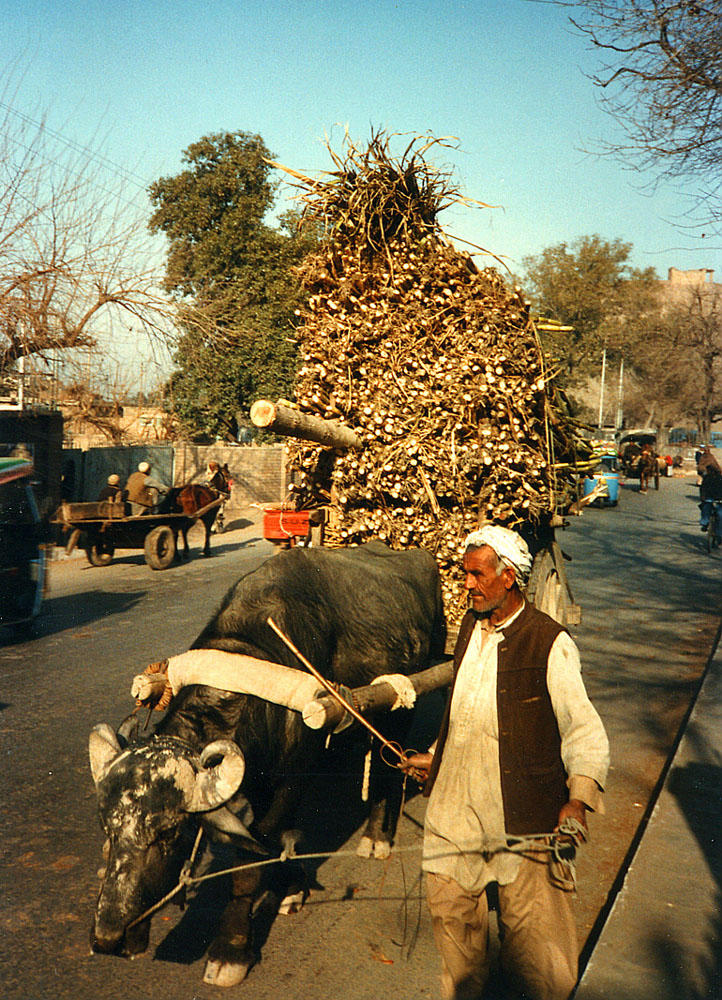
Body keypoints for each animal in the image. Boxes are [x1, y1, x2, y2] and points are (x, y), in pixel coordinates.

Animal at [90, 540, 444, 984]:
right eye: (107, 827)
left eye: (169, 833)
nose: (108, 939)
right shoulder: (255, 782)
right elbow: (273, 843)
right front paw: (291, 886)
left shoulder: (291, 780)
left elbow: (249, 863)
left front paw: (231, 951)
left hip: (399, 706)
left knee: (389, 763)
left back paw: (377, 837)